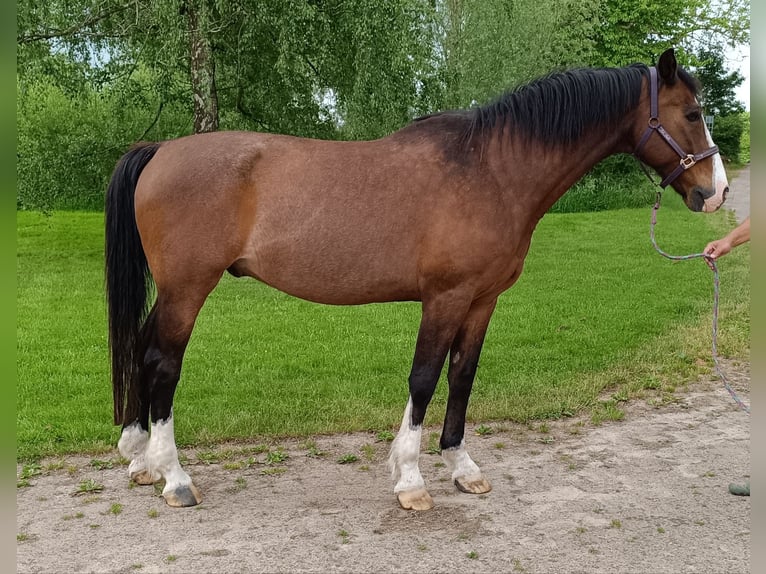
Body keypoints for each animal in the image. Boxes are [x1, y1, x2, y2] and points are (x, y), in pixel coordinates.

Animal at [105, 48, 727, 510]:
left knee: (140, 346)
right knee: (163, 361)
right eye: (692, 114)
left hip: (173, 290)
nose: (716, 192)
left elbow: (462, 376)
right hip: (189, 287)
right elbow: (424, 378)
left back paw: (140, 458)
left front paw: (462, 467)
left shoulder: (482, 301)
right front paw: (409, 479)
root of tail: (159, 150)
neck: (491, 170)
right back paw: (175, 477)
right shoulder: (445, 298)